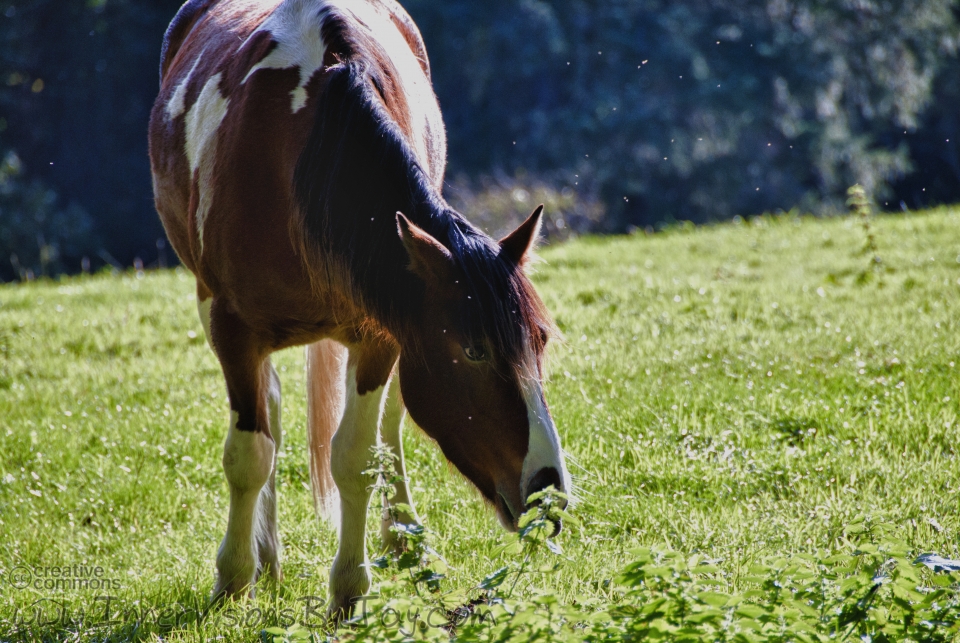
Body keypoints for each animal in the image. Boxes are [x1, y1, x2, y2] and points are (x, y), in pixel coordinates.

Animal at [149, 0, 568, 616]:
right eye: (473, 351)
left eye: (539, 341)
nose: (548, 491)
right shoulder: (230, 327)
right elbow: (249, 454)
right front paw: (234, 579)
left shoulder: (382, 334)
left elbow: (357, 457)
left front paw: (349, 590)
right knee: (269, 411)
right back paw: (266, 554)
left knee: (386, 425)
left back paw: (404, 540)